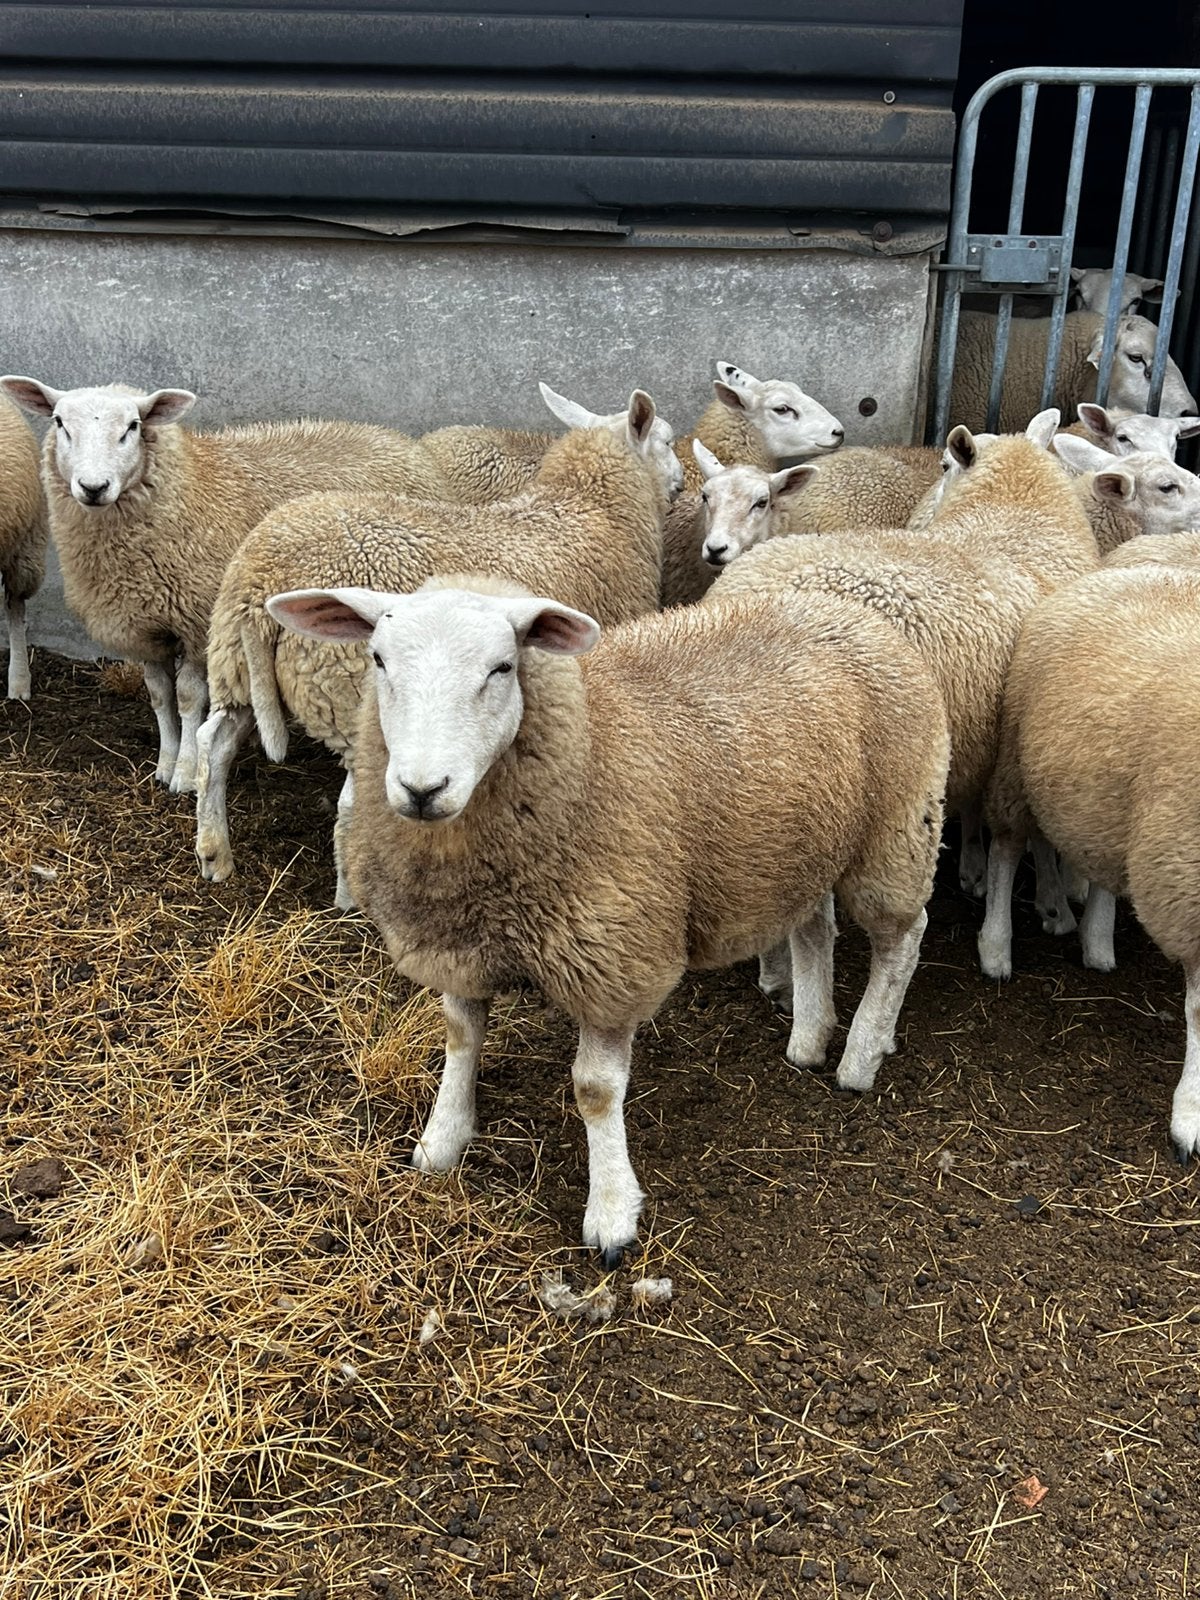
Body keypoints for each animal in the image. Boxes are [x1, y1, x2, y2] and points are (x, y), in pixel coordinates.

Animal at [0, 376, 481, 793]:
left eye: (133, 427)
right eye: (60, 422)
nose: (93, 486)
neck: (188, 489)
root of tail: (395, 438)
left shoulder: (198, 621)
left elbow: (189, 698)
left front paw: (185, 773)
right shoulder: (140, 625)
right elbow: (159, 696)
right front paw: (164, 763)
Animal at [194, 386, 682, 894]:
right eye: (668, 441)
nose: (681, 484)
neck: (590, 508)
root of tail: (263, 579)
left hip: (231, 664)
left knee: (212, 745)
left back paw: (214, 853)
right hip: (350, 698)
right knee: (351, 803)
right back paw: (349, 894)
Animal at [265, 573, 949, 1262]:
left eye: (503, 667)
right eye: (379, 660)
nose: (422, 789)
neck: (589, 741)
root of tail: (849, 612)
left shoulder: (613, 959)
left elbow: (595, 1090)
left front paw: (612, 1212)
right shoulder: (458, 946)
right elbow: (460, 1039)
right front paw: (444, 1139)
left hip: (896, 828)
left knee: (903, 937)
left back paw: (860, 1054)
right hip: (808, 845)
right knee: (815, 926)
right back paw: (809, 1037)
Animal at [706, 414, 1099, 999]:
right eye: (944, 463)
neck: (1012, 519)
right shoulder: (1017, 742)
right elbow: (1012, 840)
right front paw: (1004, 938)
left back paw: (775, 975)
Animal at [977, 560, 1200, 1160]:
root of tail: (1119, 570)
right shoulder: (1189, 896)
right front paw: (1190, 1115)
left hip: (1102, 793)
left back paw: (1097, 939)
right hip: (1017, 763)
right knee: (1007, 849)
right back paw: (996, 947)